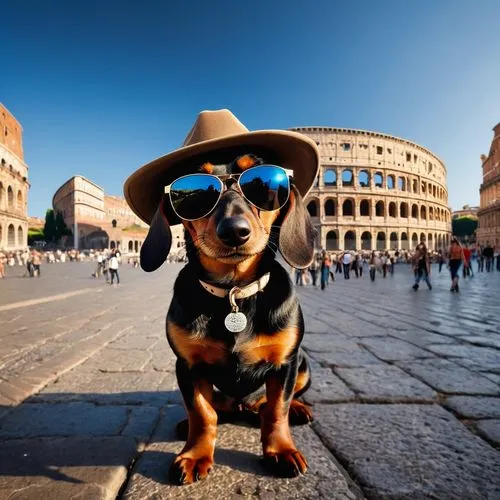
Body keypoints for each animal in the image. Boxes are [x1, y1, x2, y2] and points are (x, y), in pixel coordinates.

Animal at [139, 153, 314, 484]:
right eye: (193, 191)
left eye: (263, 181)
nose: (234, 231)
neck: (233, 292)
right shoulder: (188, 366)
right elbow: (202, 413)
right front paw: (195, 455)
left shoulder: (285, 363)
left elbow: (277, 410)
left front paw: (281, 450)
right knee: (218, 408)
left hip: (304, 366)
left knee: (272, 404)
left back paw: (297, 409)